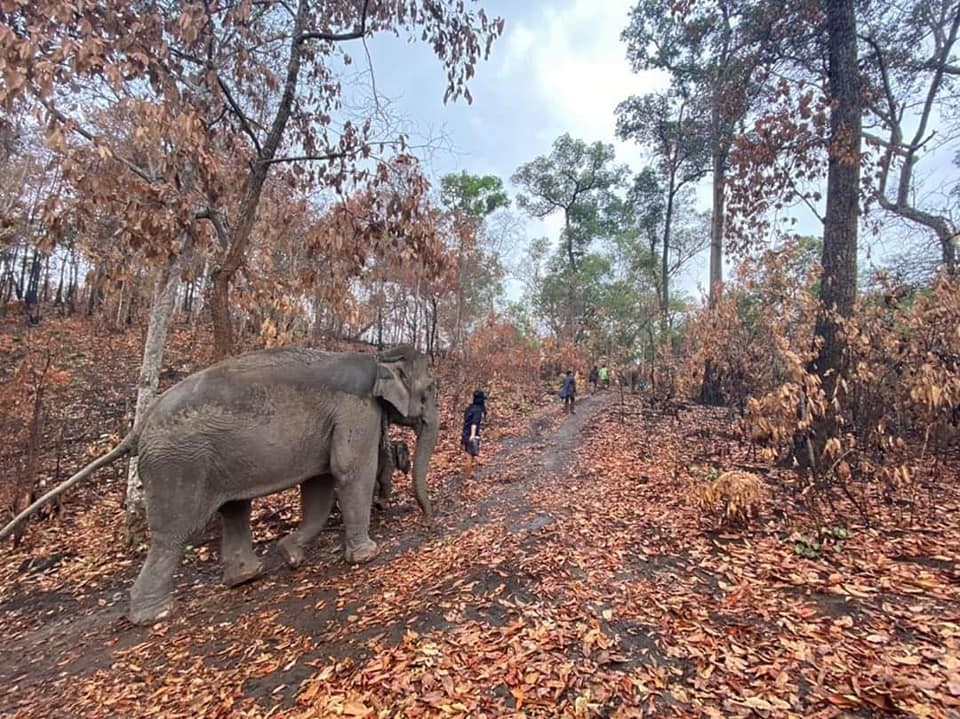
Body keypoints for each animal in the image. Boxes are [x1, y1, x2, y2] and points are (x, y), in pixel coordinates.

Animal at [0, 344, 440, 624]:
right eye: (432, 388)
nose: (430, 519)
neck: (376, 357)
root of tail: (141, 425)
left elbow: (319, 483)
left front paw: (290, 555)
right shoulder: (355, 411)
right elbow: (348, 471)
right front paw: (366, 555)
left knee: (233, 509)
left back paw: (246, 576)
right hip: (179, 464)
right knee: (174, 534)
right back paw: (154, 615)